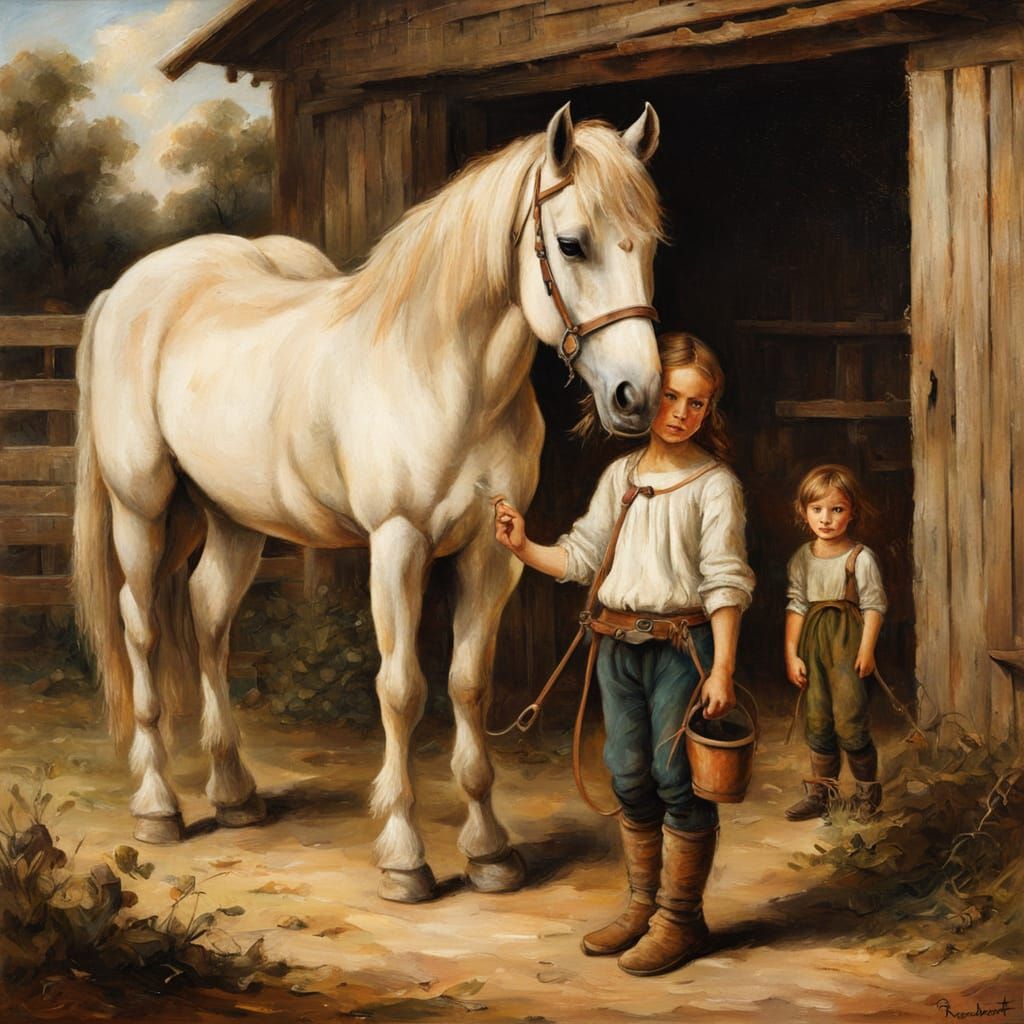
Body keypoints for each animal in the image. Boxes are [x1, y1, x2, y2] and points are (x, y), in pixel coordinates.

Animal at [73, 102, 664, 903]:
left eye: (650, 246)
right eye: (572, 244)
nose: (637, 397)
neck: (441, 368)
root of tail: (128, 289)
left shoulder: (492, 553)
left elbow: (468, 685)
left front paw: (490, 853)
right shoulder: (398, 544)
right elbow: (402, 690)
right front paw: (405, 858)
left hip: (234, 519)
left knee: (208, 619)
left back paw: (234, 795)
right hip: (142, 508)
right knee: (142, 631)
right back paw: (158, 807)